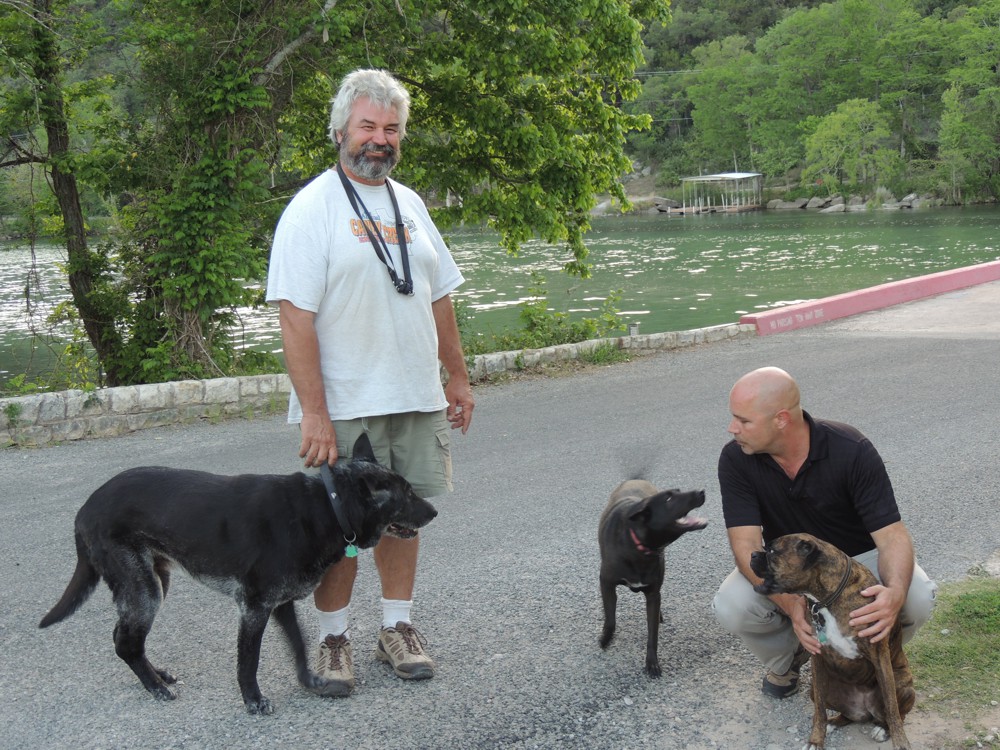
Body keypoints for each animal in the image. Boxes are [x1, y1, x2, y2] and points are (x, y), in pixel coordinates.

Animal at [39, 434, 438, 716]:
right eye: (406, 493)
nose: (434, 511)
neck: (328, 506)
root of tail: (85, 509)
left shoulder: (281, 605)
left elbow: (299, 645)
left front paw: (310, 681)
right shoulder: (253, 608)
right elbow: (248, 662)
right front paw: (253, 700)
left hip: (152, 583)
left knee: (123, 636)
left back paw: (158, 675)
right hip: (145, 590)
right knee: (126, 643)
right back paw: (156, 688)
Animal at [596, 482, 708, 680]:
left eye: (678, 492)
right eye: (669, 499)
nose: (701, 492)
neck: (639, 545)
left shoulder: (653, 594)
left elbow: (652, 633)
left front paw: (652, 663)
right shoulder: (606, 583)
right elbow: (610, 619)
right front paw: (605, 639)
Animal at [752, 536, 916, 750]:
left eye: (772, 551)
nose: (753, 554)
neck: (828, 600)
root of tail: (864, 710)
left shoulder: (879, 657)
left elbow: (892, 707)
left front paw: (901, 742)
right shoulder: (818, 659)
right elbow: (819, 711)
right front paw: (816, 740)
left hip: (901, 683)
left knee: (896, 713)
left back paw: (883, 728)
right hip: (816, 689)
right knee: (846, 716)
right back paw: (834, 722)